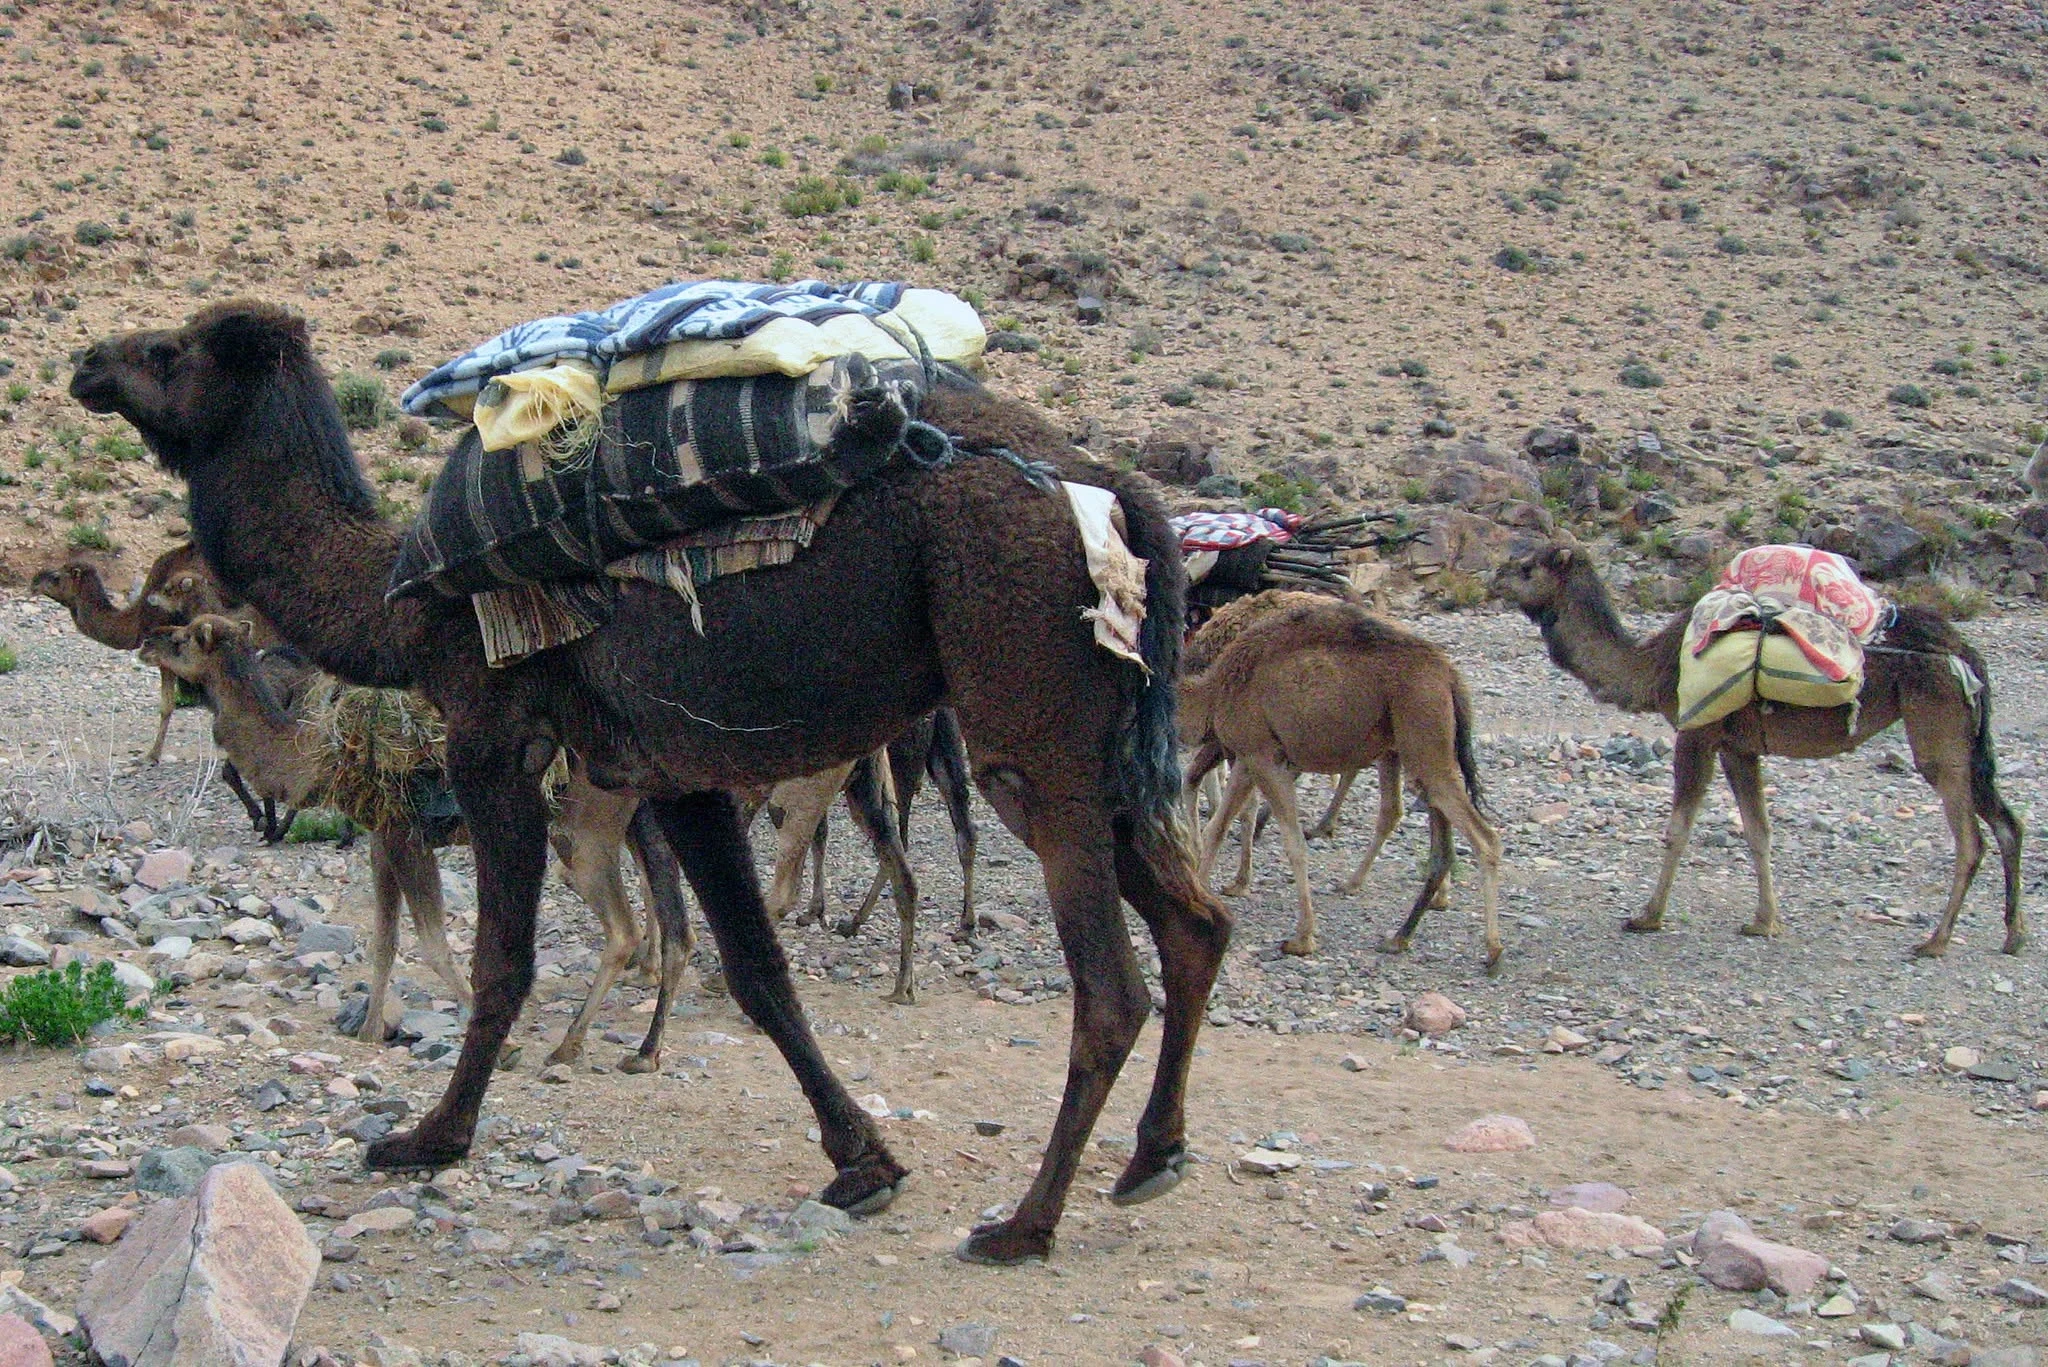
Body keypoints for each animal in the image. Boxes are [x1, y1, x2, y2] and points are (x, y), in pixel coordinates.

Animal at [141, 614, 693, 1069]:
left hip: (582, 830)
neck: (314, 750)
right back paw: (643, 1051)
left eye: (181, 637)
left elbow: (431, 940)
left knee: (623, 928)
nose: (146, 641)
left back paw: (569, 1046)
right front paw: (368, 1029)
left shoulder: (406, 833)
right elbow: (385, 939)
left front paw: (505, 1046)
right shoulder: (381, 834)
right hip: (625, 817)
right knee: (669, 919)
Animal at [1180, 593, 1501, 967]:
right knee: (1434, 837)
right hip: (1417, 752)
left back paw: (1492, 950)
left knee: (1483, 837)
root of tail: (1450, 676)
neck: (1212, 691)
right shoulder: (1247, 758)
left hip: (1423, 743)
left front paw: (1302, 938)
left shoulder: (1263, 756)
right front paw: (1206, 901)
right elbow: (1218, 827)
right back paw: (1399, 935)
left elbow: (1291, 843)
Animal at [1495, 541, 2024, 956]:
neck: (1652, 667)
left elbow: (1678, 830)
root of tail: (1966, 653)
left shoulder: (1698, 731)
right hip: (1966, 737)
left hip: (1937, 725)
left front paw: (1647, 916)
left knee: (1970, 837)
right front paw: (1764, 921)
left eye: (1528, 566)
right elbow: (1758, 832)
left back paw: (1935, 941)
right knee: (2007, 822)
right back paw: (2012, 936)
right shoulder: (1738, 747)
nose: (1496, 574)